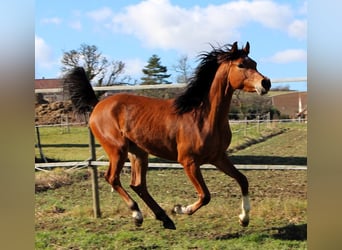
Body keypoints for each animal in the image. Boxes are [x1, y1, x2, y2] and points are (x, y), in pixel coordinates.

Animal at [63, 41, 270, 230]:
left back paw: (164, 219)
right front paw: (180, 209)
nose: (265, 83)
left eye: (254, 63)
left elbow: (243, 180)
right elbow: (205, 195)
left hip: (138, 152)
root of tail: (98, 104)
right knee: (112, 178)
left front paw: (244, 218)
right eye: (241, 65)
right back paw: (138, 215)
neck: (203, 117)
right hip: (117, 150)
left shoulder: (218, 157)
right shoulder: (189, 162)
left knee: (138, 185)